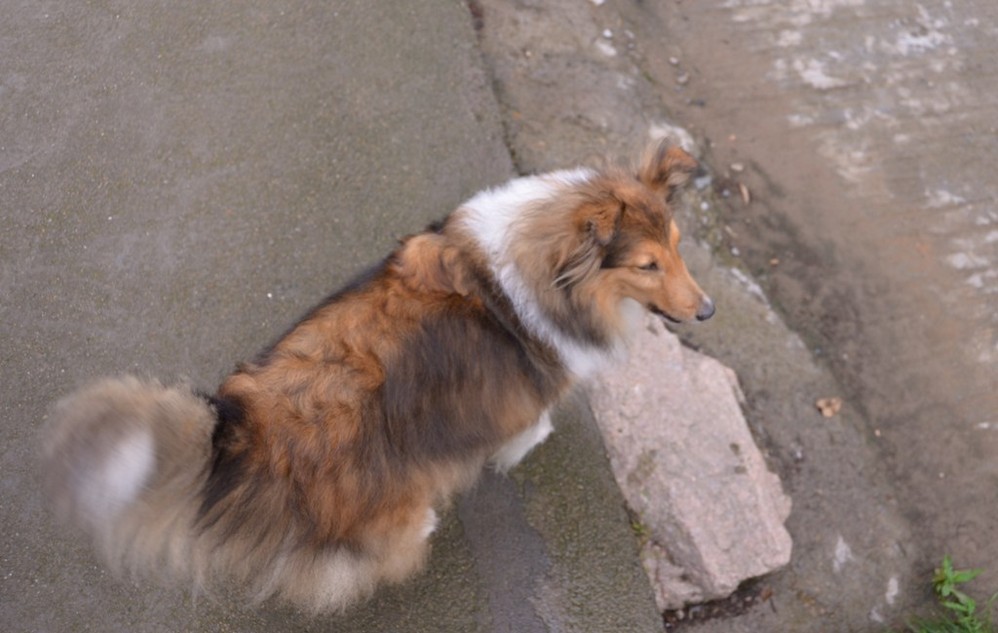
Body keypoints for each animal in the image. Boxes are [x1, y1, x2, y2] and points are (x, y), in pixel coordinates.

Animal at [42, 141, 714, 613]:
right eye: (647, 265)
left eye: (679, 245)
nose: (707, 311)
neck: (549, 270)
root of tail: (249, 428)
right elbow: (529, 425)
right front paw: (527, 443)